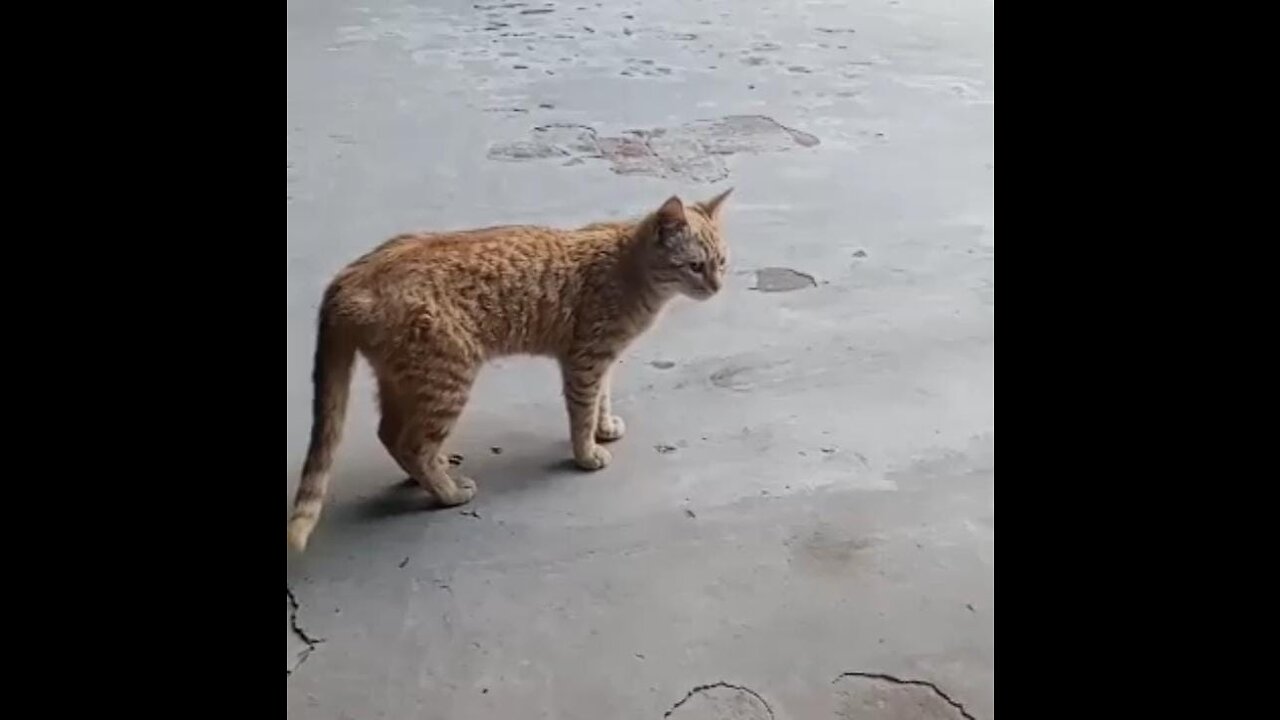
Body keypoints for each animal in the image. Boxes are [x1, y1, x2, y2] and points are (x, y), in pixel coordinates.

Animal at [286, 189, 737, 548]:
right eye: (696, 266)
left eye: (722, 262)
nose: (717, 287)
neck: (628, 267)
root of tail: (349, 277)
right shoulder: (585, 360)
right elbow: (582, 411)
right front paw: (586, 452)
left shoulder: (603, 359)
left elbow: (603, 398)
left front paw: (604, 427)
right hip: (447, 379)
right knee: (411, 444)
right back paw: (448, 493)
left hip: (405, 381)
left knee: (391, 435)